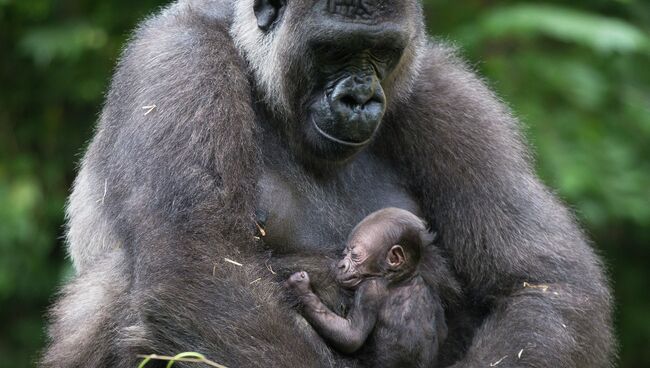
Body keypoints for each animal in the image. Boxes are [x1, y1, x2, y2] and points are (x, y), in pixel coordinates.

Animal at [288, 208, 446, 366]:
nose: (341, 265)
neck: (403, 277)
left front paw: (301, 290)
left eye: (354, 255)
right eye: (345, 253)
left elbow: (351, 336)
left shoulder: (369, 288)